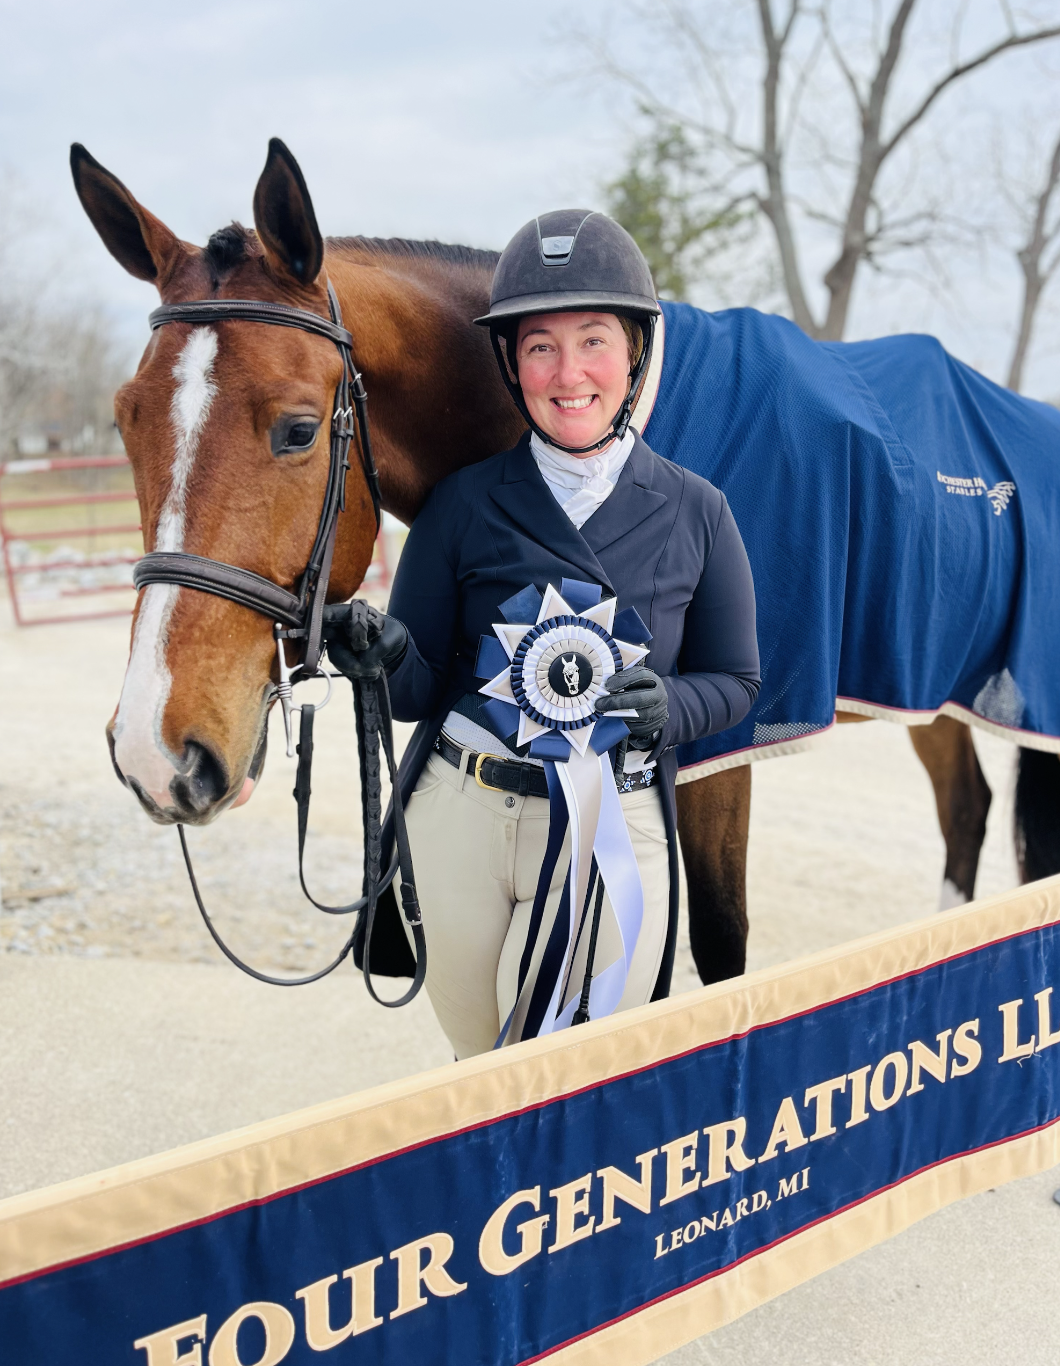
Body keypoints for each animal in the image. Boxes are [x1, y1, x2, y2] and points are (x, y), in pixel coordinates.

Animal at [70, 137, 1052, 991]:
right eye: (124, 418)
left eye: (299, 429)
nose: (156, 750)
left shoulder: (723, 748)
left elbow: (720, 949)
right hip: (932, 690)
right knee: (966, 810)